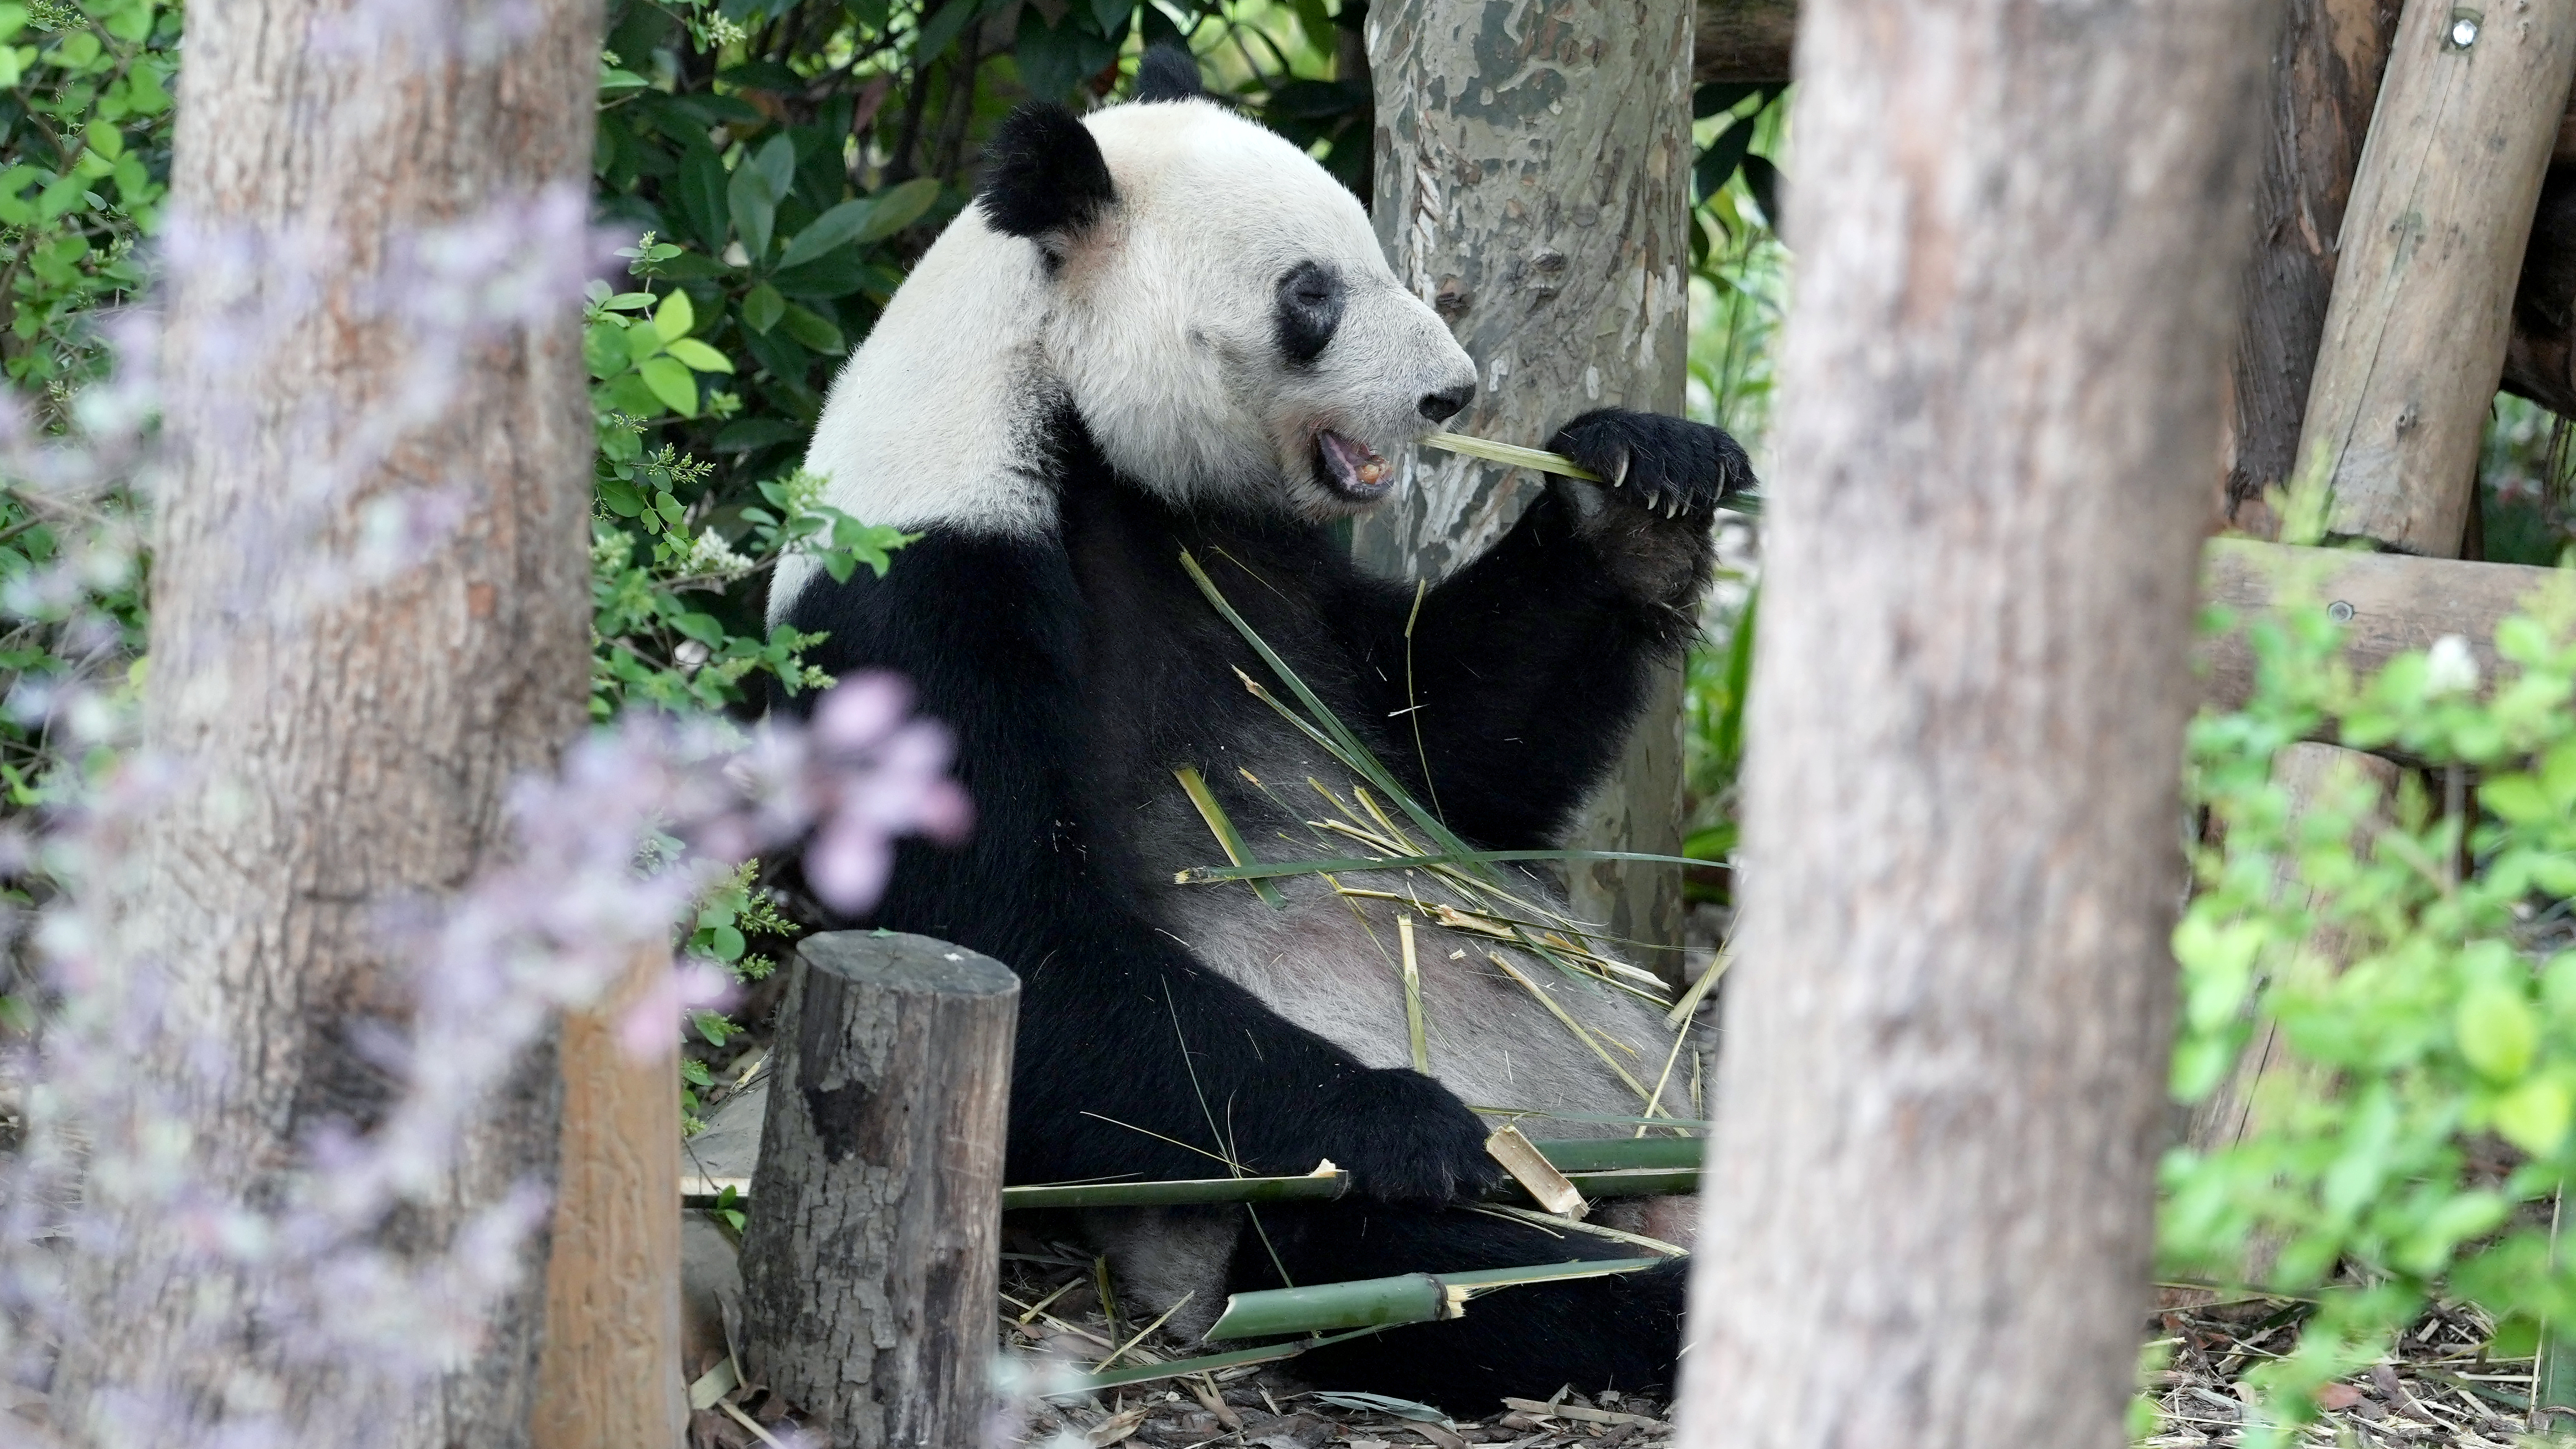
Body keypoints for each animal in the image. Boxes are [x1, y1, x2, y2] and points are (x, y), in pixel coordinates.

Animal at [768, 47, 1756, 1412]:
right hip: (1252, 1229)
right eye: (1312, 292)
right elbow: (1014, 935)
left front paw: (1639, 487)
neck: (1047, 403)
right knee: (1445, 1271)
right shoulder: (920, 594)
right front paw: (1415, 1126)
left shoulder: (1261, 573)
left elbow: (1449, 750)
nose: (1451, 392)